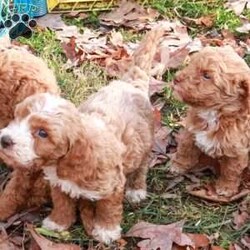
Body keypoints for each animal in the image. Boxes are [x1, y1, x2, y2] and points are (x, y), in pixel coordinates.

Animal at [170, 46, 250, 196]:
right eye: (191, 64)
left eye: (207, 75)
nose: (176, 79)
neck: (213, 113)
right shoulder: (190, 132)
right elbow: (185, 149)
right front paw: (178, 165)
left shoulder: (237, 151)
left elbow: (231, 170)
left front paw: (226, 187)